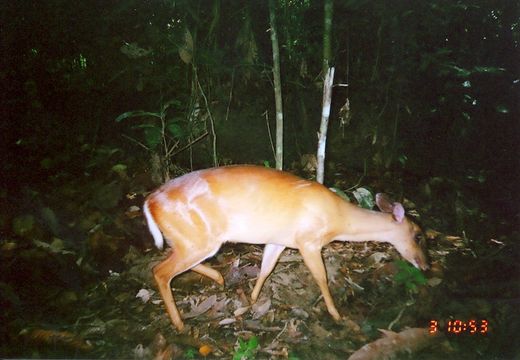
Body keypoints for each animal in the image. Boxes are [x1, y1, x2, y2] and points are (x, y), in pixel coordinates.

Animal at [144, 165, 428, 330]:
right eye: (418, 235)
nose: (425, 264)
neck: (338, 220)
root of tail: (149, 202)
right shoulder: (308, 240)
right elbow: (321, 277)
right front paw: (336, 315)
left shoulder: (279, 240)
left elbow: (266, 269)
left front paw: (253, 300)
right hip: (199, 238)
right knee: (160, 271)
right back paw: (180, 324)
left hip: (189, 239)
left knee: (163, 262)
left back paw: (219, 278)